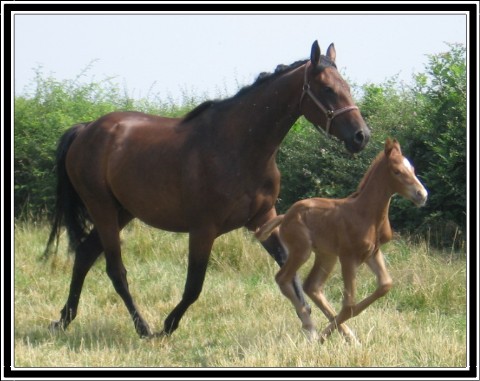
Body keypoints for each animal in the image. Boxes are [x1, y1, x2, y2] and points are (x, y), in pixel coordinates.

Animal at [45, 40, 370, 336]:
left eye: (346, 85)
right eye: (327, 89)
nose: (361, 136)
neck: (238, 147)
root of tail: (85, 129)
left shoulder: (262, 219)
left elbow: (290, 271)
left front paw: (326, 328)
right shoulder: (203, 229)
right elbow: (194, 286)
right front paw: (168, 326)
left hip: (122, 211)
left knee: (85, 254)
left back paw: (64, 319)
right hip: (101, 208)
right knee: (115, 270)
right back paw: (144, 327)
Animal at [255, 139, 428, 342]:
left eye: (413, 169)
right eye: (397, 171)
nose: (422, 194)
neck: (366, 214)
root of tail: (285, 216)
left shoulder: (373, 253)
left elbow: (385, 285)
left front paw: (338, 333)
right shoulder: (348, 257)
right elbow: (349, 305)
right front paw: (323, 336)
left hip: (326, 255)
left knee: (312, 286)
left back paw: (345, 335)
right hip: (302, 250)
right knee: (283, 278)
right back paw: (312, 328)